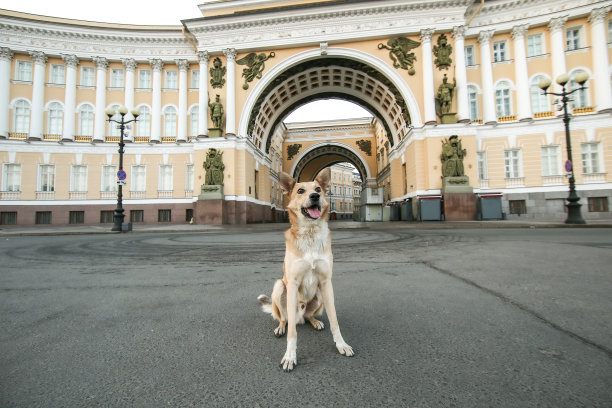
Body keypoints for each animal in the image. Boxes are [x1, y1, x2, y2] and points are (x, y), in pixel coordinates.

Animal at [258, 167, 354, 372]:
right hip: (280, 287)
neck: (310, 234)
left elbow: (335, 321)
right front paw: (290, 356)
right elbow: (292, 333)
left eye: (318, 188)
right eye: (300, 190)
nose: (315, 196)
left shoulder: (326, 283)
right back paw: (281, 327)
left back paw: (315, 321)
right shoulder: (293, 283)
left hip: (319, 296)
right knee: (285, 319)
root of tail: (300, 316)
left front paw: (341, 344)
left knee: (309, 316)